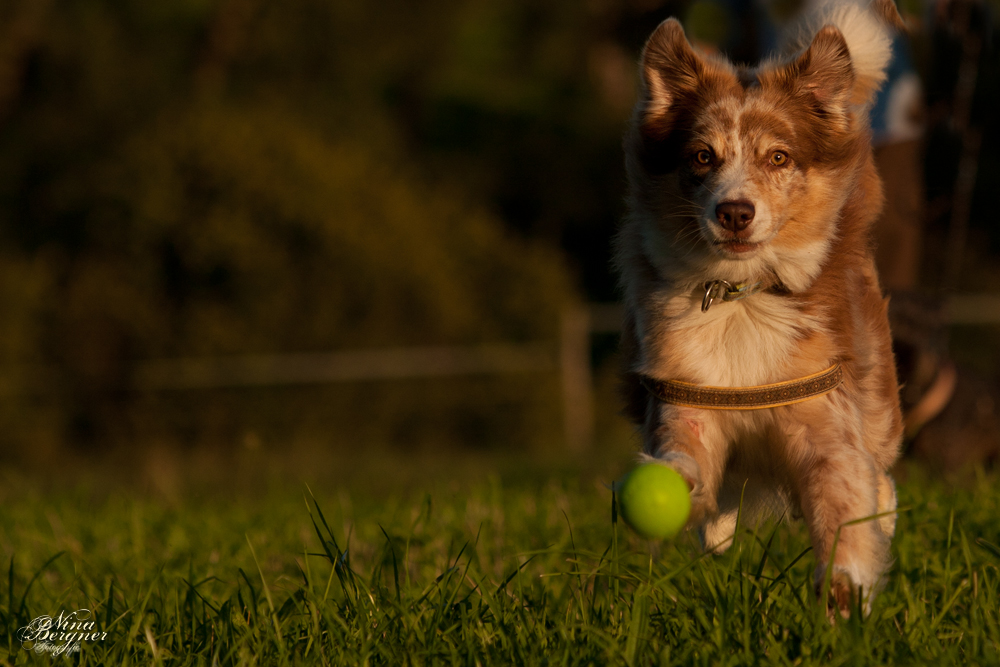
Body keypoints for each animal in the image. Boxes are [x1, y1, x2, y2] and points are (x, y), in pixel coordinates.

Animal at [616, 0, 908, 616]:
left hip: (876, 392)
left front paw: (845, 588)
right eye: (702, 156)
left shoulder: (826, 420)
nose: (734, 212)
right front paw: (675, 486)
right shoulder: (687, 402)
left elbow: (842, 499)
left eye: (778, 157)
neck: (741, 297)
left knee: (880, 473)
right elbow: (684, 459)